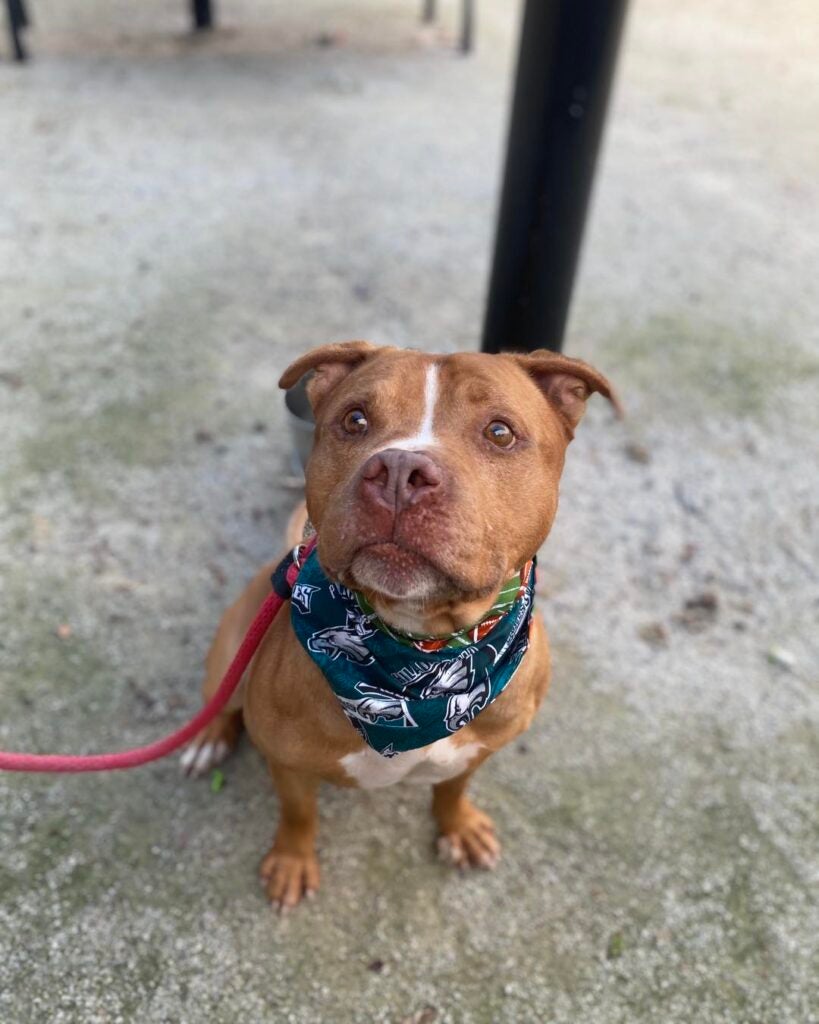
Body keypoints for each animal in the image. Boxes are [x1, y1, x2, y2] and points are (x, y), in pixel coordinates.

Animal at [177, 339, 614, 909]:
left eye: (499, 432)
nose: (400, 470)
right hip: (232, 649)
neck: (422, 648)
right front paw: (292, 861)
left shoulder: (477, 748)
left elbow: (452, 787)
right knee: (222, 700)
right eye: (355, 419)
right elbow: (298, 814)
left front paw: (457, 826)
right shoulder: (287, 763)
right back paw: (207, 738)